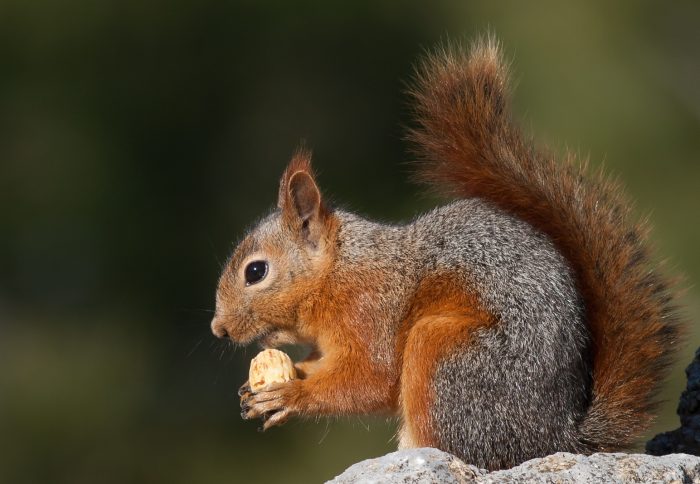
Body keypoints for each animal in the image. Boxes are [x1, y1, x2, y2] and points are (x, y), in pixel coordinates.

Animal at [209, 37, 684, 468]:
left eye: (255, 271)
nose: (219, 329)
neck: (339, 271)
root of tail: (556, 439)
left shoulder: (371, 311)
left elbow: (369, 380)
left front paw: (291, 393)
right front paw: (262, 389)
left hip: (445, 356)